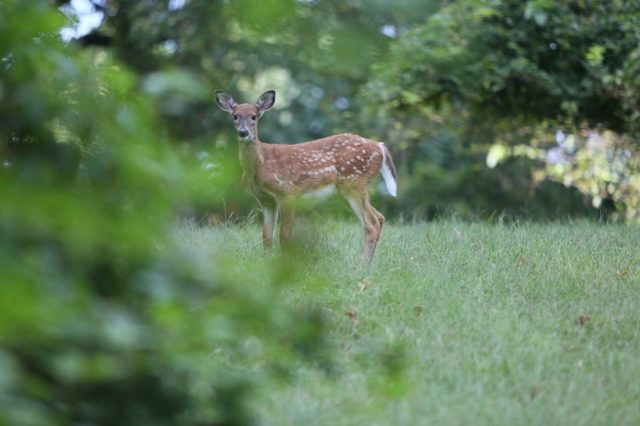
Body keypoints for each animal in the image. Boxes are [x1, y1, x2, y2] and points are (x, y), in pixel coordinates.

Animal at [215, 90, 396, 262]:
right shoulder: (266, 200)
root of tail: (379, 146)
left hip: (354, 182)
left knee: (371, 224)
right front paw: (265, 263)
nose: (243, 132)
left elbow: (284, 236)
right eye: (235, 116)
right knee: (380, 217)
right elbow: (266, 237)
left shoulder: (287, 192)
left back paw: (360, 267)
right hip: (346, 191)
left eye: (254, 116)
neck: (261, 164)